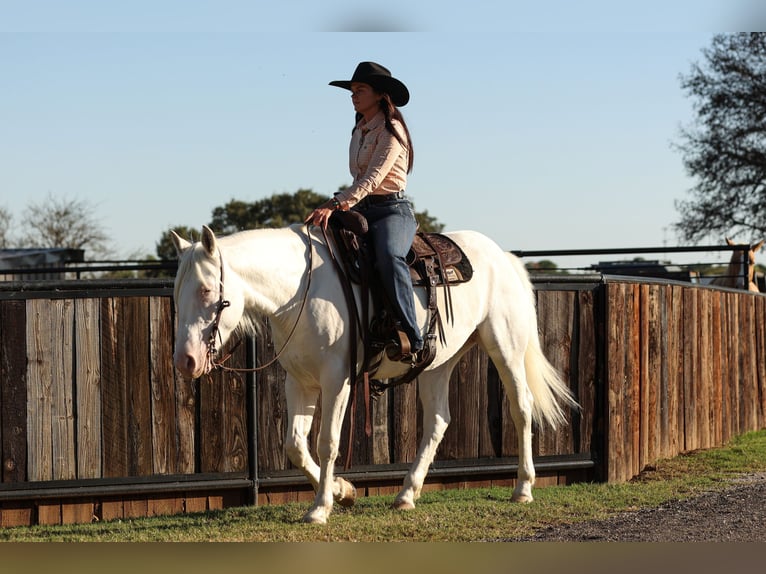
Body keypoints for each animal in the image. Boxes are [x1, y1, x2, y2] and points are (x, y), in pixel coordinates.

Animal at [172, 226, 584, 528]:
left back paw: (523, 488)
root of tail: (503, 256)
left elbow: (327, 443)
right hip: (438, 364)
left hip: (505, 347)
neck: (300, 291)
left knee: (522, 408)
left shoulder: (338, 380)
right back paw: (406, 494)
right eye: (176, 294)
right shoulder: (299, 381)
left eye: (207, 290)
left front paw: (320, 508)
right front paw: (343, 491)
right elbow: (295, 445)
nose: (185, 361)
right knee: (438, 420)